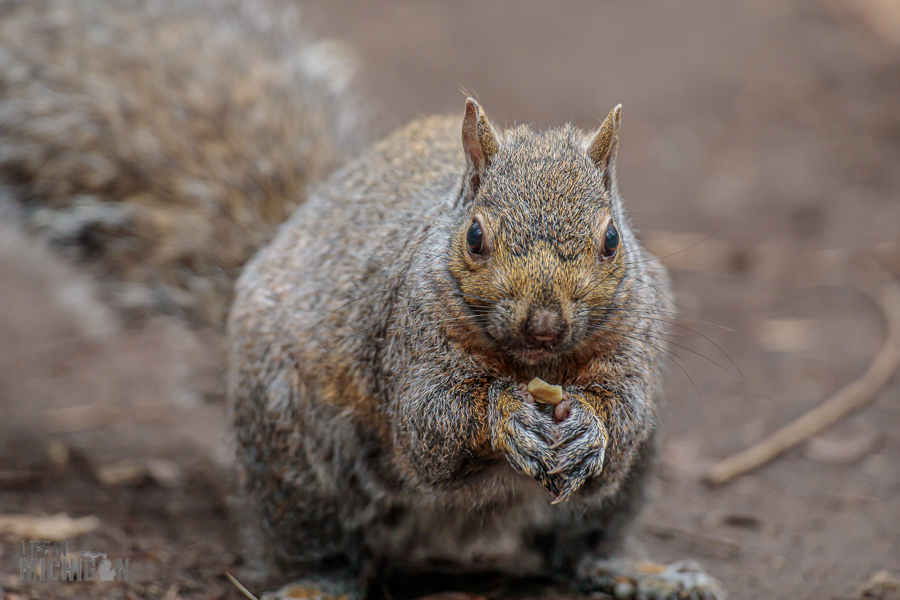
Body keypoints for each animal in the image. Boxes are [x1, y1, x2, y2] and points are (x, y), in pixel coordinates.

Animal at [229, 99, 728, 600]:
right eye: (474, 237)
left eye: (612, 239)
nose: (544, 327)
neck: (535, 365)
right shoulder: (410, 340)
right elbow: (430, 423)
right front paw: (508, 414)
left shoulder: (632, 340)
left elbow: (622, 415)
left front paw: (589, 424)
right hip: (291, 452)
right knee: (330, 548)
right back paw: (318, 582)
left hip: (631, 479)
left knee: (578, 548)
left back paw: (635, 572)